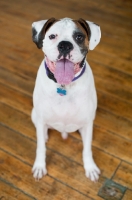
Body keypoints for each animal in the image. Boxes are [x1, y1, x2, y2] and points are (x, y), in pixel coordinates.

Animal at [31, 18, 101, 182]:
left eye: (79, 37)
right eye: (52, 36)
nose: (65, 45)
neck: (64, 86)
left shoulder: (88, 122)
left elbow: (87, 149)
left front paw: (90, 168)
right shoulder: (41, 119)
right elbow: (40, 147)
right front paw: (39, 166)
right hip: (34, 115)